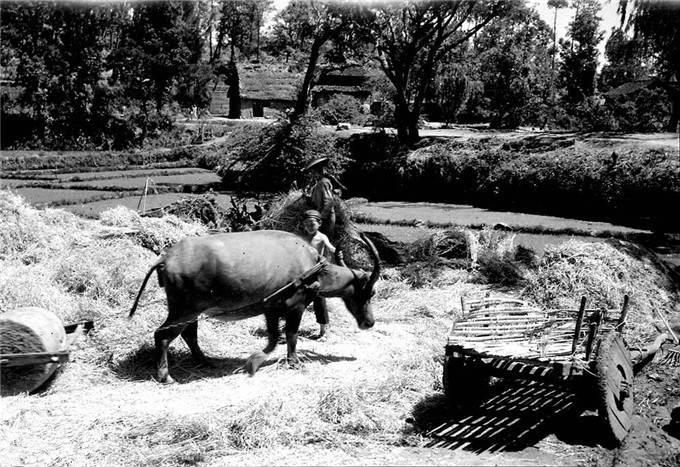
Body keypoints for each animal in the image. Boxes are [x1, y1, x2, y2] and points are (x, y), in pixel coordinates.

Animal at [130, 230, 380, 384]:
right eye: (370, 291)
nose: (369, 322)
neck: (312, 267)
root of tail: (167, 258)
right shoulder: (296, 306)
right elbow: (291, 335)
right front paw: (293, 362)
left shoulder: (271, 309)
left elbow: (273, 339)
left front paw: (255, 361)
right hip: (183, 310)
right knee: (162, 335)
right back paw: (166, 376)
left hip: (193, 311)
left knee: (189, 334)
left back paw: (205, 361)